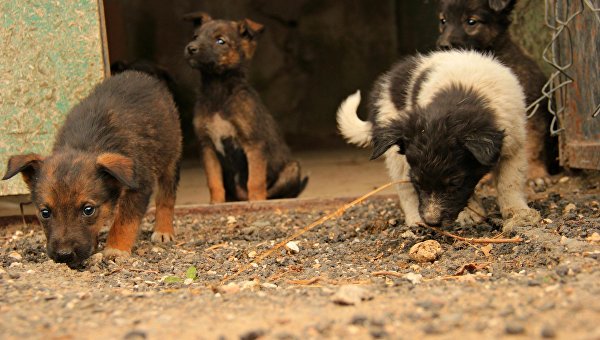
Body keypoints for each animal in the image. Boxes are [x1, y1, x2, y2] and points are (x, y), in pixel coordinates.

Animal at [2, 71, 182, 268]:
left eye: (88, 210)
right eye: (45, 213)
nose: (64, 256)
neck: (86, 144)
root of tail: (139, 73)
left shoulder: (139, 186)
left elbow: (124, 220)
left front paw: (115, 249)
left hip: (171, 156)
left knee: (166, 196)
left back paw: (163, 229)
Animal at [183, 11, 308, 203]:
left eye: (220, 41)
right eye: (195, 36)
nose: (191, 48)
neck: (218, 91)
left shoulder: (253, 143)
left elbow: (255, 181)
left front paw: (256, 202)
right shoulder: (207, 147)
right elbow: (214, 182)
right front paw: (216, 204)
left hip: (292, 168)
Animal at [340, 49, 540, 231]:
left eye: (455, 182)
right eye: (418, 182)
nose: (432, 222)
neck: (464, 93)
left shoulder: (514, 144)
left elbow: (510, 181)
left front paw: (518, 211)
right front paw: (470, 213)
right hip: (394, 148)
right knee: (404, 189)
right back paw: (415, 219)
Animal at [434, 0, 556, 189]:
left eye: (471, 21)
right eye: (443, 21)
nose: (442, 46)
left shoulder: (532, 108)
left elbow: (533, 144)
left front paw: (536, 174)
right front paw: (484, 178)